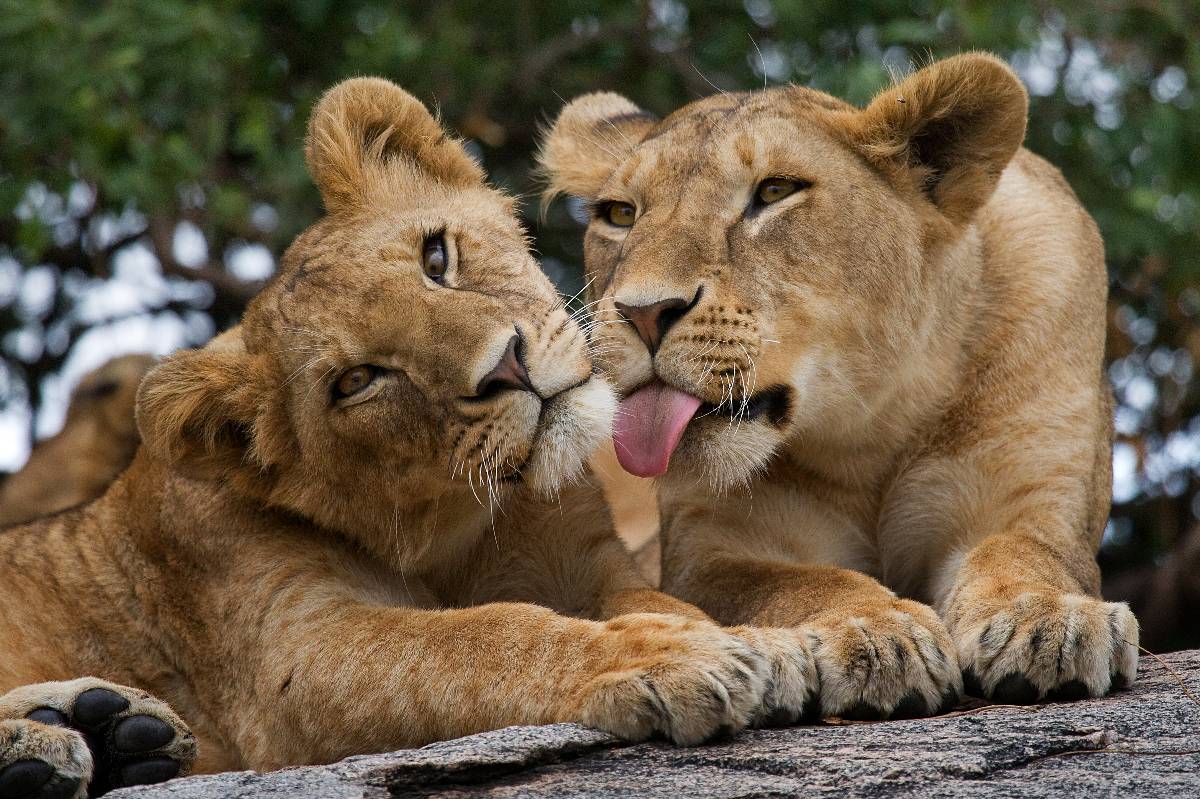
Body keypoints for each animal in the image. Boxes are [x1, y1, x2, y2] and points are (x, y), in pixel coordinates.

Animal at [539, 52, 1139, 721]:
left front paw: (1049, 621)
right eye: (621, 214)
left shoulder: (1031, 499)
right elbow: (799, 581)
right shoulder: (709, 553)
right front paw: (879, 634)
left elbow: (1023, 553)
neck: (870, 428)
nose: (643, 313)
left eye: (775, 191)